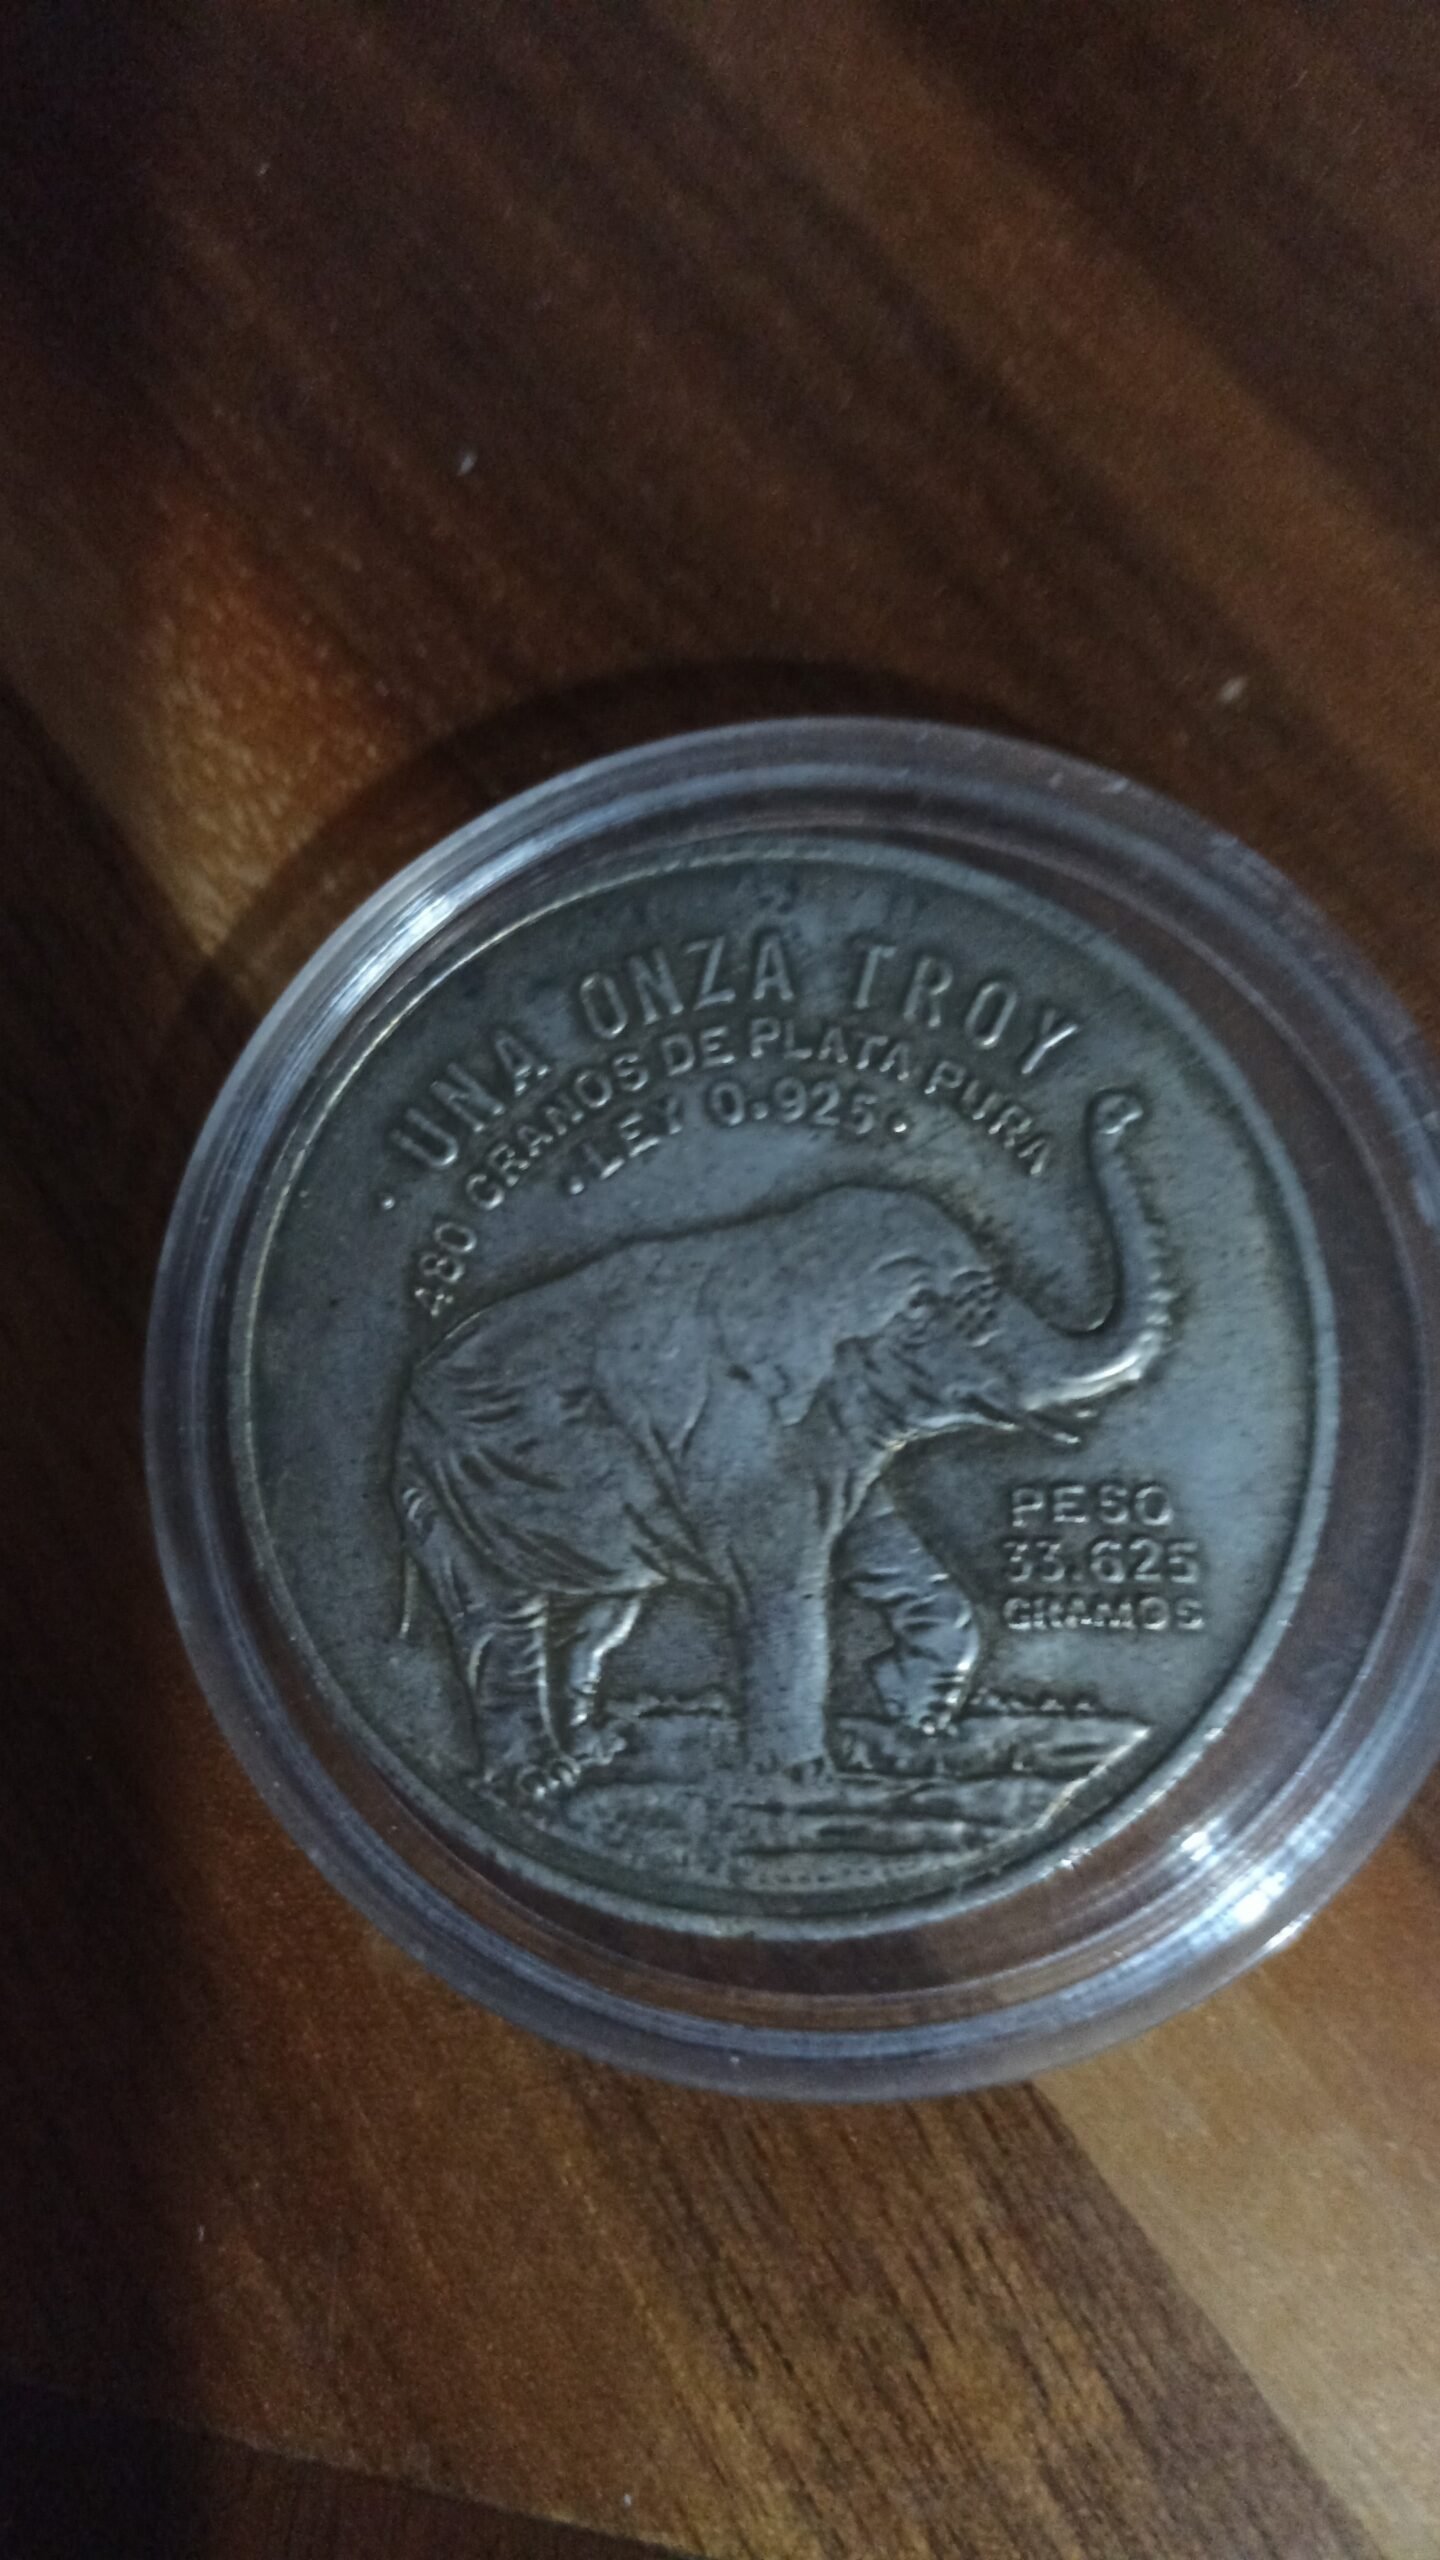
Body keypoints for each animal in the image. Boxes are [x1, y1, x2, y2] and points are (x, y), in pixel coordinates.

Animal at [394, 1090, 1174, 1797]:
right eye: (943, 1311)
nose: (1120, 1111)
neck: (786, 1255)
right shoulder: (736, 1433)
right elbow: (781, 1579)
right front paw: (802, 1780)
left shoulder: (834, 1435)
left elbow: (879, 1547)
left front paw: (910, 1716)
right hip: (443, 1491)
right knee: (498, 1621)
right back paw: (540, 1782)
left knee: (597, 1622)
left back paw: (596, 1752)